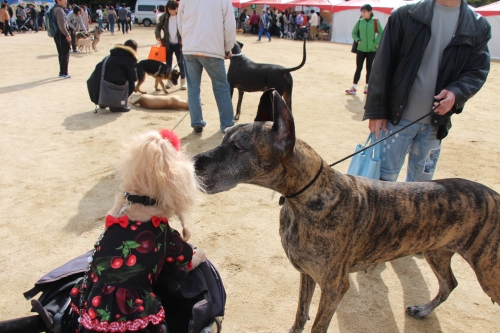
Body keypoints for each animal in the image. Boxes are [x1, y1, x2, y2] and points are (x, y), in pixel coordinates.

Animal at [194, 88, 500, 332]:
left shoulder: (333, 287)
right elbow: (300, 314)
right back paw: (424, 309)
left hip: (488, 272)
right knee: (450, 284)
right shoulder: (307, 274)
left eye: (237, 148)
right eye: (225, 138)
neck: (303, 197)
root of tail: (495, 195)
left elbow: (317, 325)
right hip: (437, 252)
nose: (194, 163)